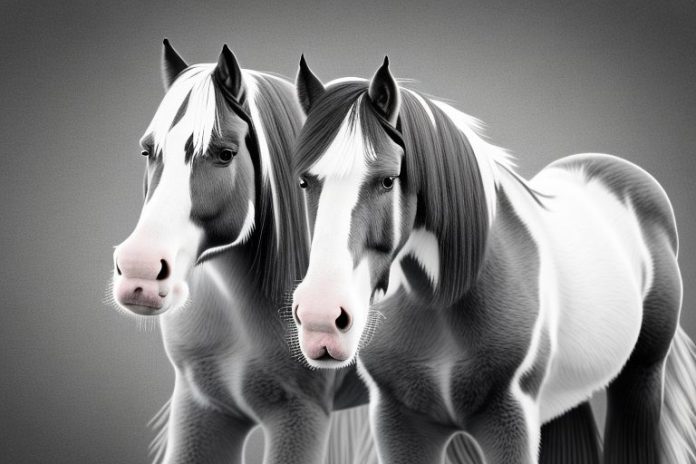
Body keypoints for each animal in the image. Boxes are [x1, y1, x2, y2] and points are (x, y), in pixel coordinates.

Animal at [289, 56, 696, 464]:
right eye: (305, 182)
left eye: (388, 180)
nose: (321, 320)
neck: (442, 300)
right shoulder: (399, 424)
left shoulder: (509, 419)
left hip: (642, 374)